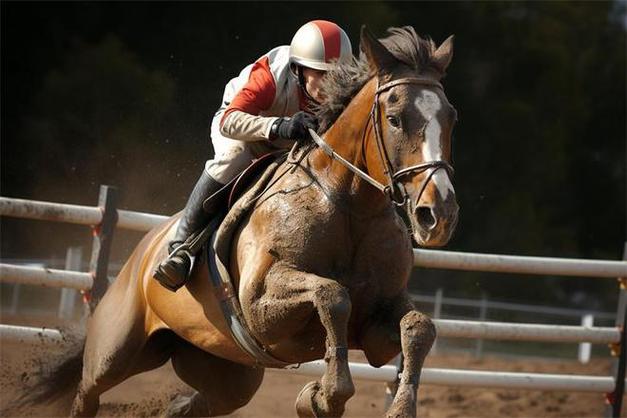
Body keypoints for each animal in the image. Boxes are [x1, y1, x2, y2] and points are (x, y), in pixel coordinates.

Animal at [34, 24, 458, 416]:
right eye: (395, 118)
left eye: (451, 117)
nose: (439, 214)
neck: (350, 206)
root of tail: (140, 253)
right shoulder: (261, 305)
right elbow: (333, 295)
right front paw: (322, 396)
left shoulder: (377, 320)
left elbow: (419, 327)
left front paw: (395, 406)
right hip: (115, 353)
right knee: (88, 391)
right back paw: (174, 261)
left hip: (226, 372)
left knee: (191, 406)